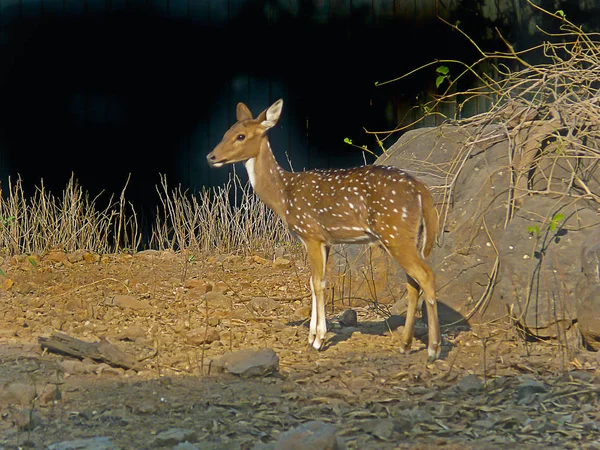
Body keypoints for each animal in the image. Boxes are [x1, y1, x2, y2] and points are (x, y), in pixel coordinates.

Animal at [206, 98, 440, 362]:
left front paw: (318, 340)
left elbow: (318, 283)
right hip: (406, 236)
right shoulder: (325, 240)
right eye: (226, 132)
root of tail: (422, 190)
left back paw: (433, 349)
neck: (283, 196)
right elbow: (313, 281)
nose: (211, 156)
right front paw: (311, 336)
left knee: (426, 276)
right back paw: (405, 344)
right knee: (413, 282)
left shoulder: (311, 234)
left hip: (395, 231)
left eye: (241, 136)